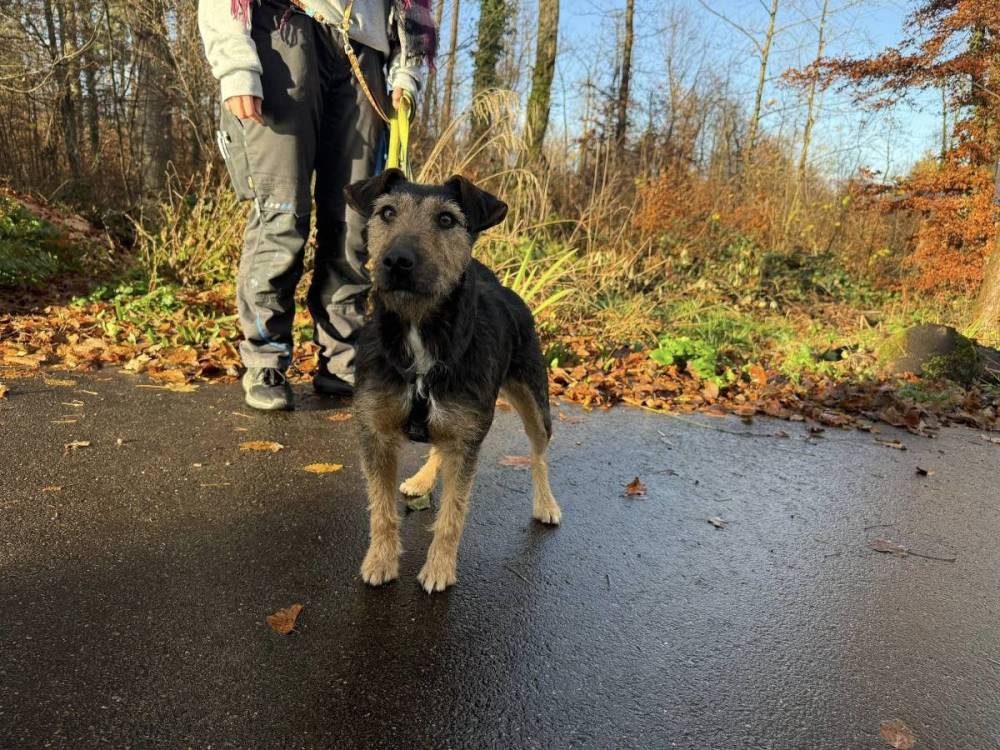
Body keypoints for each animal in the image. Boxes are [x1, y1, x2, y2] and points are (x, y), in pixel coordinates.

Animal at [344, 168, 562, 593]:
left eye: (446, 219)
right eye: (387, 212)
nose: (397, 261)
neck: (420, 333)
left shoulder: (466, 440)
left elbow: (452, 515)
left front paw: (439, 569)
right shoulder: (375, 432)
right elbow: (380, 507)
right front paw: (380, 560)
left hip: (532, 399)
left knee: (539, 452)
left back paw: (546, 503)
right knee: (438, 448)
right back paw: (422, 479)